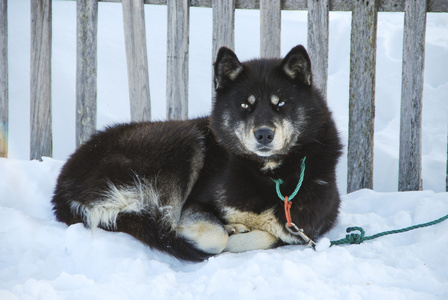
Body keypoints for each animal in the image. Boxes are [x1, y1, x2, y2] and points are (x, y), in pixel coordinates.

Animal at [51, 45, 340, 262]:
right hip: (184, 141)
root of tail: (64, 186)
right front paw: (218, 232)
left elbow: (269, 235)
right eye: (244, 105)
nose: (264, 134)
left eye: (280, 104)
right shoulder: (195, 203)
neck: (271, 175)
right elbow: (217, 238)